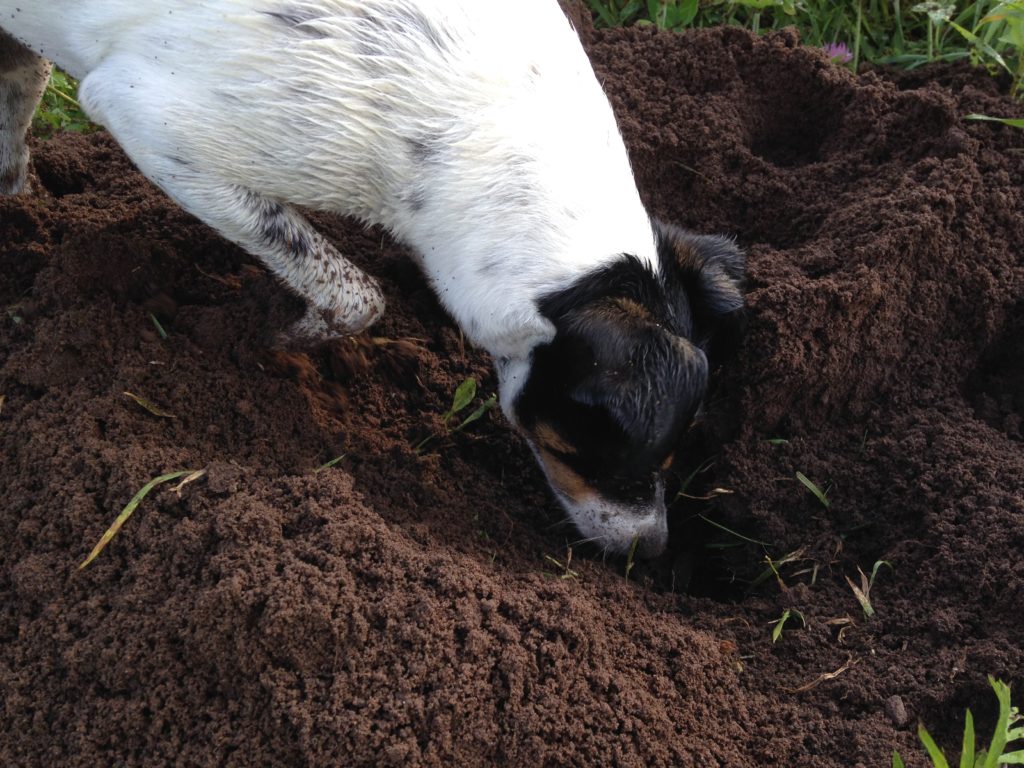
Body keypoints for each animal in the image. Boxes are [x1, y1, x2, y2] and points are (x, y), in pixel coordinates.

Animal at [4, 3, 749, 561]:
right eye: (575, 448)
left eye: (677, 454)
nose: (651, 551)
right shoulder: (152, 122)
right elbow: (357, 295)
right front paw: (272, 345)